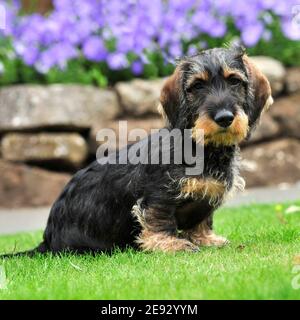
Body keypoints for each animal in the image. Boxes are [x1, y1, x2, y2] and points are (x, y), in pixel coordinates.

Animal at [0, 44, 272, 258]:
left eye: (234, 81)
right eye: (197, 86)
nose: (224, 118)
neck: (202, 148)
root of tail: (47, 240)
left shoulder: (205, 199)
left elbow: (202, 219)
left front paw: (206, 238)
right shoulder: (159, 195)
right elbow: (159, 219)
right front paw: (169, 244)